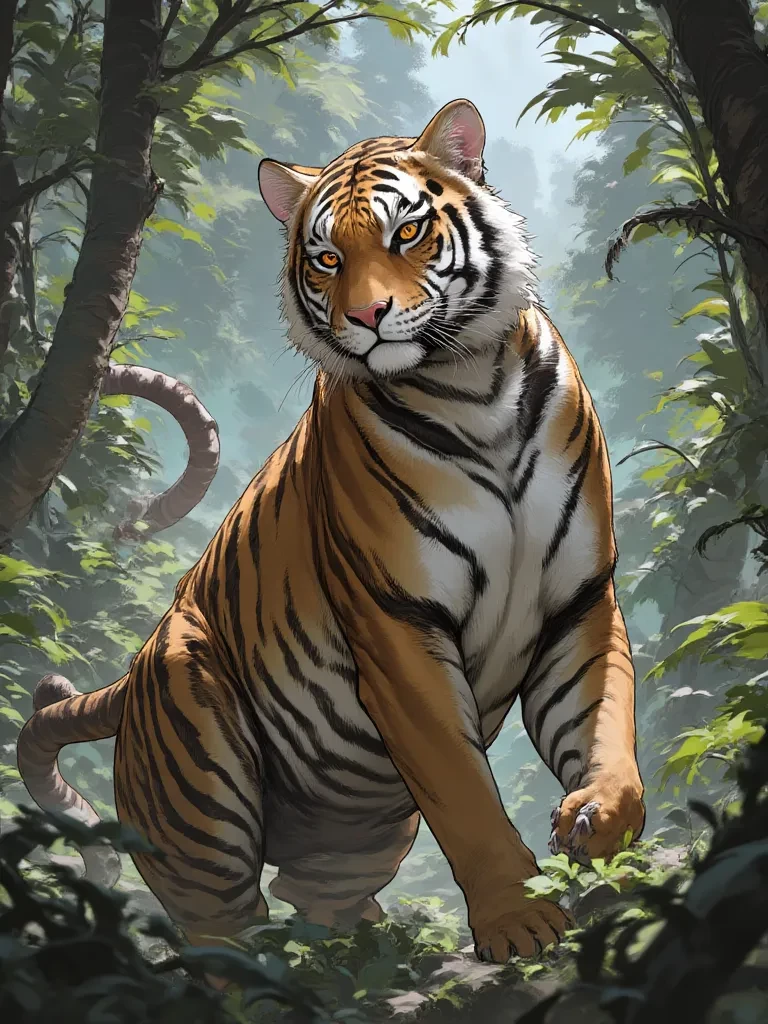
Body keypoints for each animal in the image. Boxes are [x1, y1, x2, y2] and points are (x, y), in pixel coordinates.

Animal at [17, 98, 645, 969]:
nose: (367, 317)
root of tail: (132, 673)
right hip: (200, 772)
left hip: (356, 827)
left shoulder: (578, 601)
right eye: (324, 257)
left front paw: (602, 828)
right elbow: (462, 790)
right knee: (220, 936)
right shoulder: (398, 623)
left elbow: (608, 719)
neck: (471, 386)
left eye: (406, 233)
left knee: (315, 900)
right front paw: (518, 920)